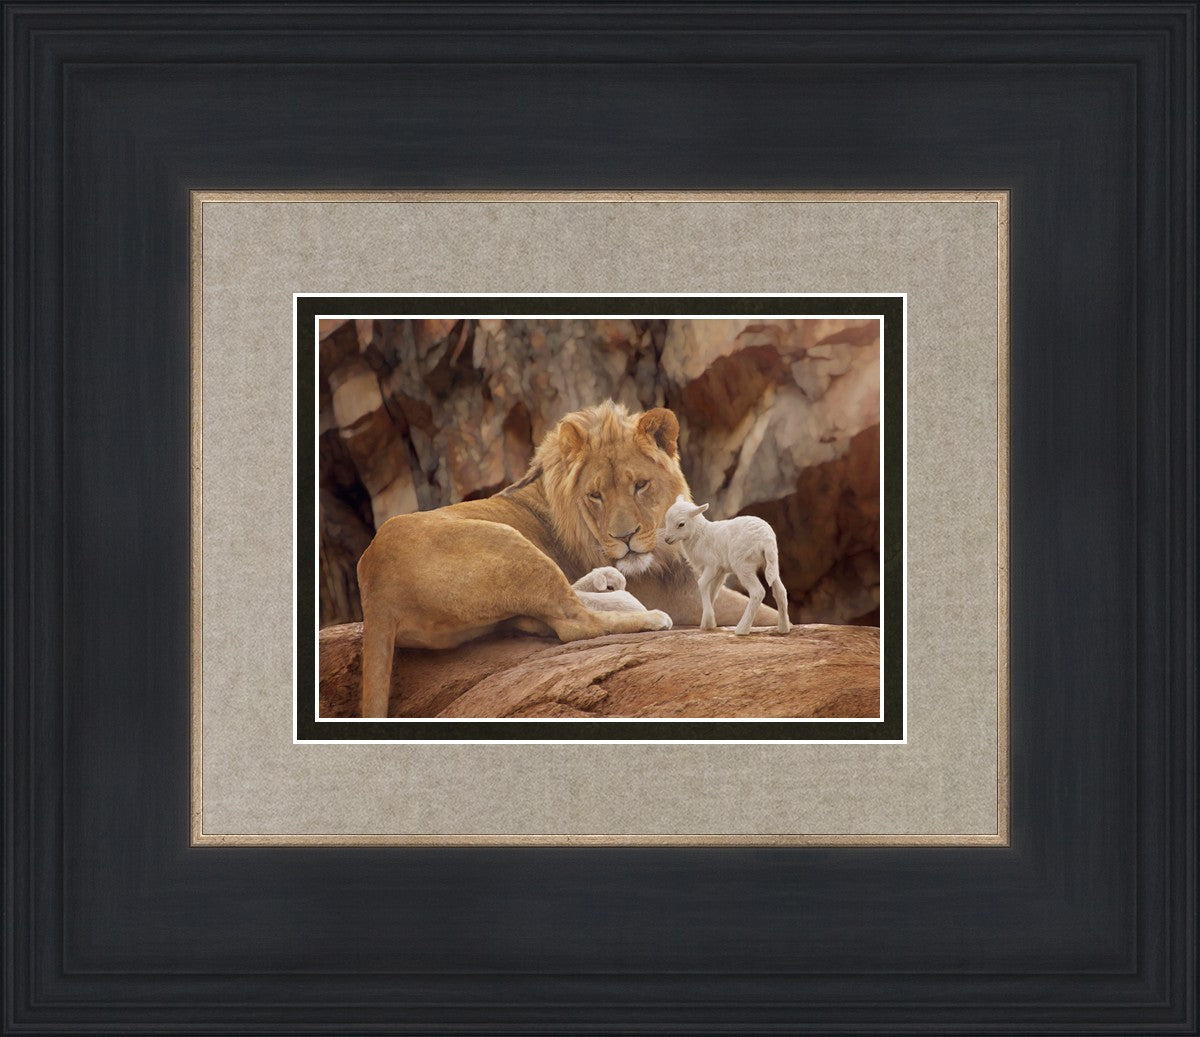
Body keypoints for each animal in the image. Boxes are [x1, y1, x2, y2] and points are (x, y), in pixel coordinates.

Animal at [662, 496, 791, 636]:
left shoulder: (712, 565)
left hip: (743, 565)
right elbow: (713, 592)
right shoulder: (720, 572)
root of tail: (766, 539)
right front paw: (707, 623)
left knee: (758, 592)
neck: (700, 535)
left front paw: (708, 621)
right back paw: (783, 628)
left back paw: (742, 629)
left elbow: (702, 584)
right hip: (771, 562)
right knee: (780, 591)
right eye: (666, 519)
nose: (667, 539)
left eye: (681, 524)